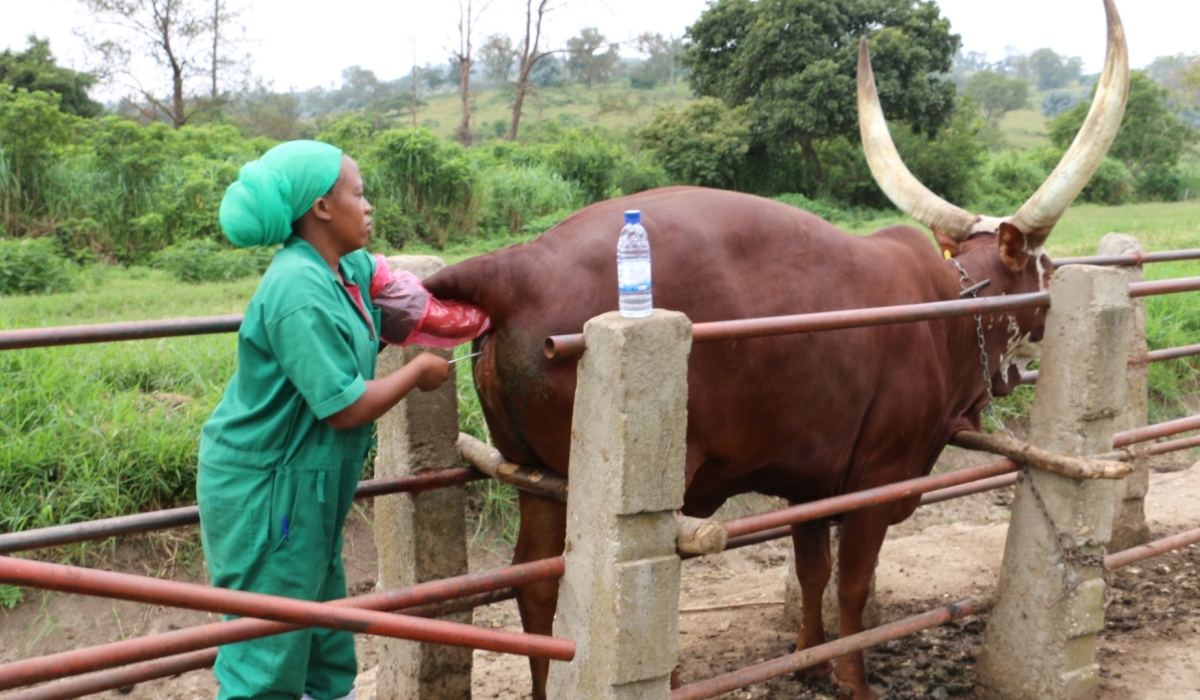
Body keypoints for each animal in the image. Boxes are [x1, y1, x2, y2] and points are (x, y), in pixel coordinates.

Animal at [424, 2, 1132, 696]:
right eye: (1044, 269)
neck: (953, 311)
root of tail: (519, 265)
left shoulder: (811, 480)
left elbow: (814, 569)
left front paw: (809, 658)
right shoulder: (876, 480)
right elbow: (853, 585)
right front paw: (852, 678)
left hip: (535, 478)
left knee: (537, 587)